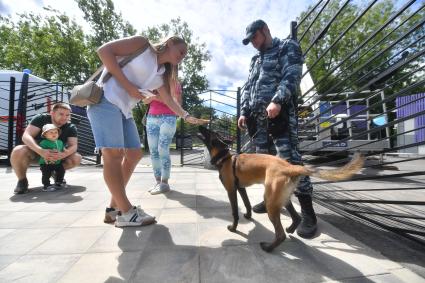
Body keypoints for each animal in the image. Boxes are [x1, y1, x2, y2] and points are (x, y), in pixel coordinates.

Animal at [197, 126, 362, 253]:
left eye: (208, 130)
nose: (200, 125)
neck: (225, 158)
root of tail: (290, 167)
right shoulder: (241, 188)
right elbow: (247, 204)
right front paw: (249, 216)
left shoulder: (231, 190)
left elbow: (234, 212)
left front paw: (233, 227)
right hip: (282, 197)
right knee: (296, 217)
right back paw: (290, 229)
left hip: (270, 201)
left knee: (280, 234)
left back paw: (268, 247)